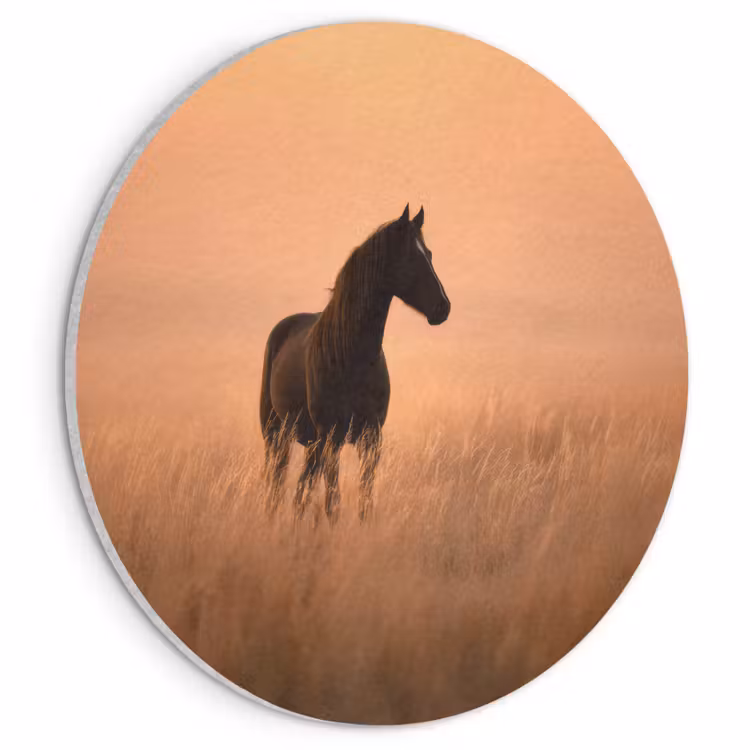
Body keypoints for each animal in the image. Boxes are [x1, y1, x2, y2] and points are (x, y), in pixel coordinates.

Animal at [259, 204, 450, 522]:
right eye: (410, 257)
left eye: (431, 254)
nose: (443, 307)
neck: (351, 357)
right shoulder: (332, 438)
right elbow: (333, 503)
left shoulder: (370, 438)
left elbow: (364, 501)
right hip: (277, 434)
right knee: (277, 486)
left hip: (311, 443)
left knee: (300, 492)